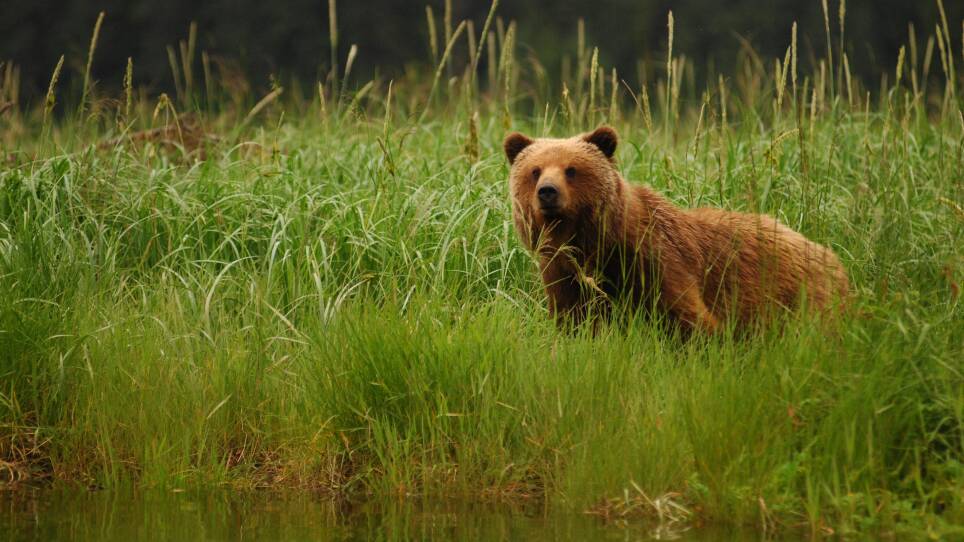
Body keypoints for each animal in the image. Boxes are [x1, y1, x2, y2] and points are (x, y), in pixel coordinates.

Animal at [503, 126, 849, 333]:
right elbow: (572, 320)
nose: (547, 192)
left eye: (571, 170)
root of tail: (830, 254)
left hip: (799, 295)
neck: (593, 244)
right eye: (535, 171)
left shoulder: (653, 259)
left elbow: (689, 317)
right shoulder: (562, 272)